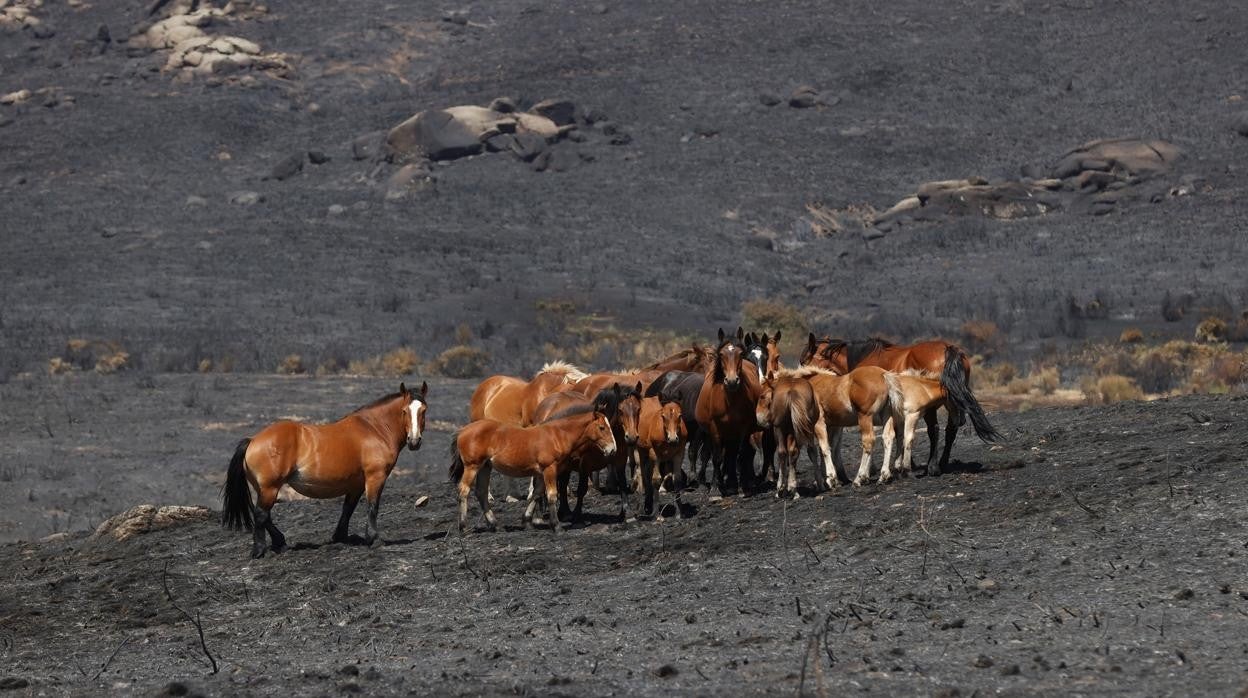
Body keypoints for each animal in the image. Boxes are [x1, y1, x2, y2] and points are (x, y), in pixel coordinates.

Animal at [227, 382, 431, 556]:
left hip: (264, 488)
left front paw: (340, 537)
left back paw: (280, 543)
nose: (414, 441)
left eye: (423, 410)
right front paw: (374, 539)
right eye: (404, 411)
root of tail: (253, 440)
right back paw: (260, 550)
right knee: (261, 514)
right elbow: (372, 506)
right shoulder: (375, 477)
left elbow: (348, 508)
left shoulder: (356, 484)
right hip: (270, 487)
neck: (375, 429)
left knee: (265, 515)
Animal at [454, 409, 619, 534]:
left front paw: (527, 522)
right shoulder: (549, 469)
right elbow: (552, 495)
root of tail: (463, 430)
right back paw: (463, 527)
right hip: (472, 466)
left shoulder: (541, 473)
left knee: (481, 493)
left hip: (485, 467)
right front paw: (557, 526)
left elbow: (537, 494)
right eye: (602, 428)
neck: (558, 436)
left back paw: (495, 525)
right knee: (464, 491)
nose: (612, 449)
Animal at [693, 329, 758, 496]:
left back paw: (733, 484)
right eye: (721, 354)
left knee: (733, 454)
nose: (732, 381)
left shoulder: (743, 428)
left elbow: (740, 454)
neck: (729, 400)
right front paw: (716, 490)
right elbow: (717, 458)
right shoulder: (715, 428)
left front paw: (743, 487)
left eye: (741, 354)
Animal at [803, 332, 978, 474]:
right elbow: (900, 433)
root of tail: (948, 348)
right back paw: (942, 463)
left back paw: (933, 467)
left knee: (934, 430)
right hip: (952, 403)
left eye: (805, 361)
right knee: (951, 429)